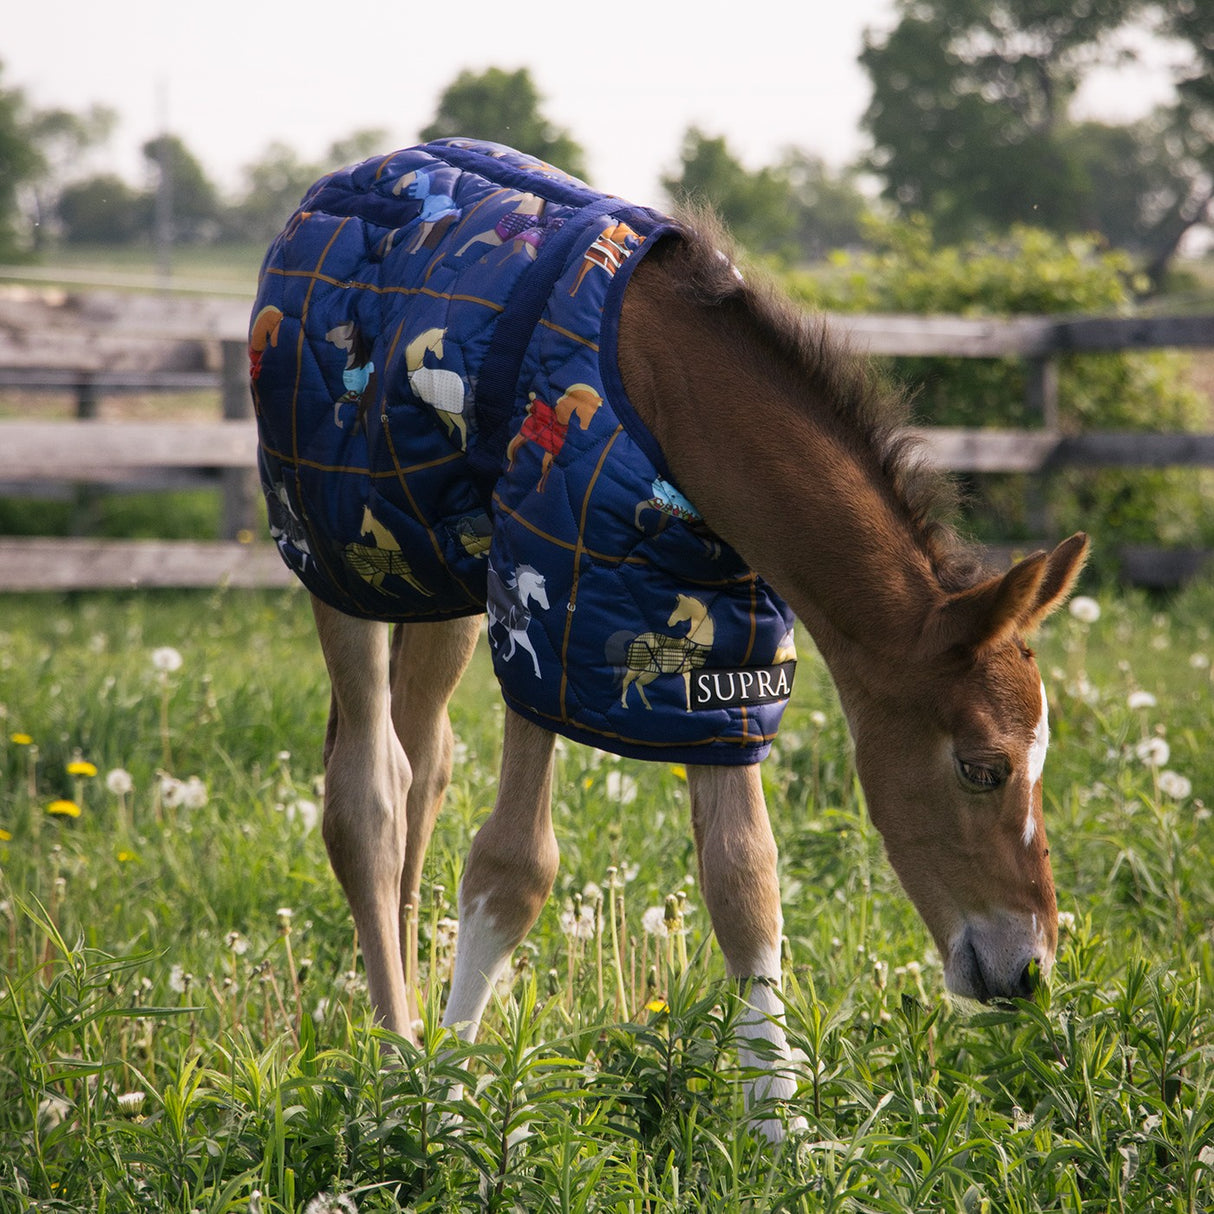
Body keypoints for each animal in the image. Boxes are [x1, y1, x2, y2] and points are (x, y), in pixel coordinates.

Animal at [255, 148, 1087, 1142]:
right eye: (981, 769)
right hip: (340, 560)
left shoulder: (722, 665)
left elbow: (745, 877)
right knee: (369, 797)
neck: (662, 398)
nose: (1029, 971)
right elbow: (513, 865)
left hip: (437, 586)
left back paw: (410, 1033)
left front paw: (780, 1131)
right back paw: (394, 1067)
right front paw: (450, 1109)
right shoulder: (547, 616)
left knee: (423, 766)